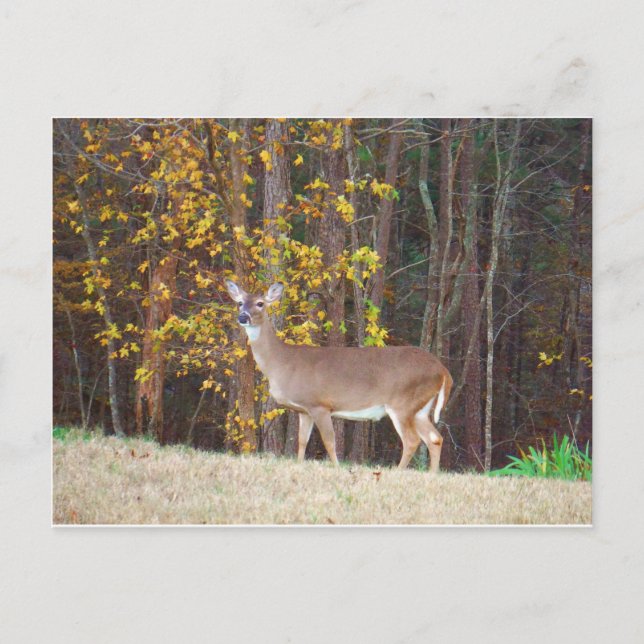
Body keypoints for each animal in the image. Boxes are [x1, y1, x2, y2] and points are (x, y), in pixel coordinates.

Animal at [225, 279, 453, 472]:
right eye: (239, 303)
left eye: (260, 303)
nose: (243, 317)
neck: (281, 363)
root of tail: (443, 371)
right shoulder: (304, 409)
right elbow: (301, 441)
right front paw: (300, 465)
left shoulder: (320, 404)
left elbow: (329, 441)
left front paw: (336, 468)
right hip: (420, 408)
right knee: (435, 438)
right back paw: (432, 474)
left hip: (402, 403)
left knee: (412, 440)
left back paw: (398, 472)